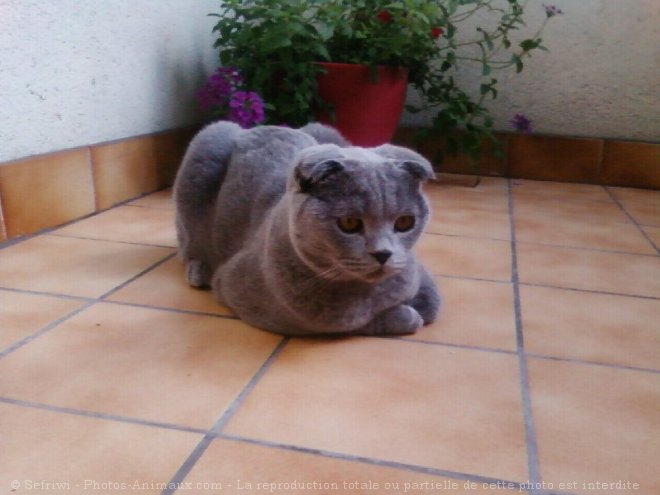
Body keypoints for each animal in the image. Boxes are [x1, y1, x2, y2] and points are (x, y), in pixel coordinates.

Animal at [175, 121, 440, 338]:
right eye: (349, 223)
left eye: (405, 222)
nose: (383, 254)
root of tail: (264, 126)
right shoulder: (236, 288)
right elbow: (350, 323)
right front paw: (407, 316)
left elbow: (432, 303)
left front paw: (415, 306)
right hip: (207, 144)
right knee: (188, 243)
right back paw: (199, 270)